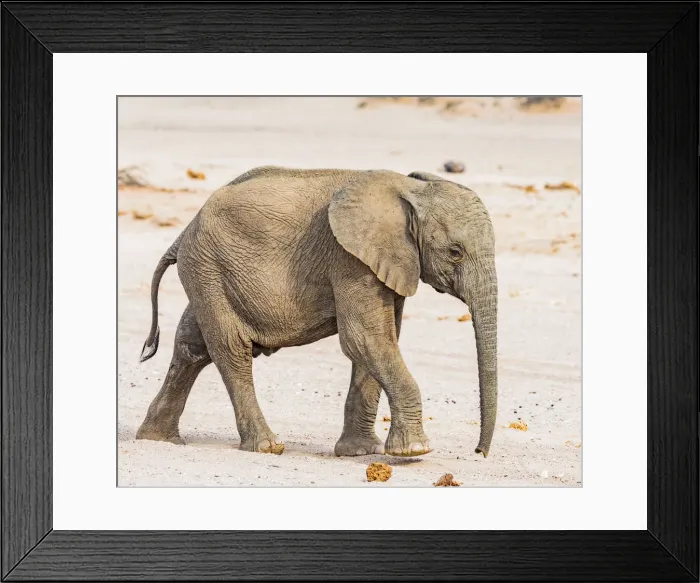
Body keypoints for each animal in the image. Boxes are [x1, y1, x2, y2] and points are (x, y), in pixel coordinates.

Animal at [135, 166, 498, 458]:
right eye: (455, 252)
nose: (478, 452)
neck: (409, 189)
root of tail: (186, 228)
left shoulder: (383, 262)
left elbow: (380, 341)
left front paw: (360, 452)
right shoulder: (349, 258)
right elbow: (364, 339)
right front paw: (414, 451)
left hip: (207, 273)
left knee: (192, 346)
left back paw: (157, 439)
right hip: (208, 267)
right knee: (231, 348)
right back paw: (267, 446)